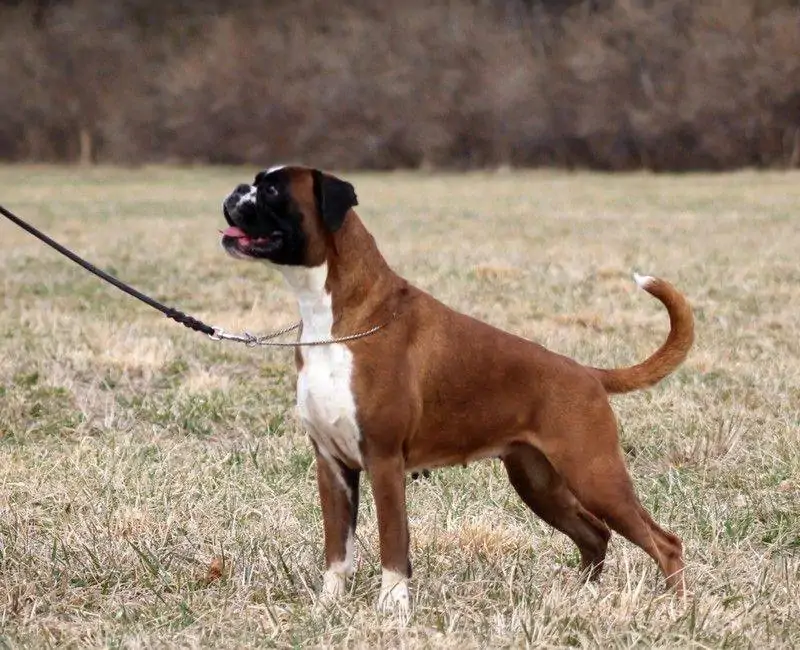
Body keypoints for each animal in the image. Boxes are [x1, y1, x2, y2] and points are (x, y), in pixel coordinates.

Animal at [219, 165, 692, 612]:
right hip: (540, 483)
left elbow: (393, 540)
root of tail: (588, 373)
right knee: (594, 533)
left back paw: (676, 608)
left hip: (595, 474)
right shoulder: (332, 464)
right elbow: (338, 547)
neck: (333, 319)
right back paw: (580, 597)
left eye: (273, 190)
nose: (236, 190)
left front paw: (393, 608)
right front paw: (329, 605)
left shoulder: (384, 460)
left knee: (664, 542)